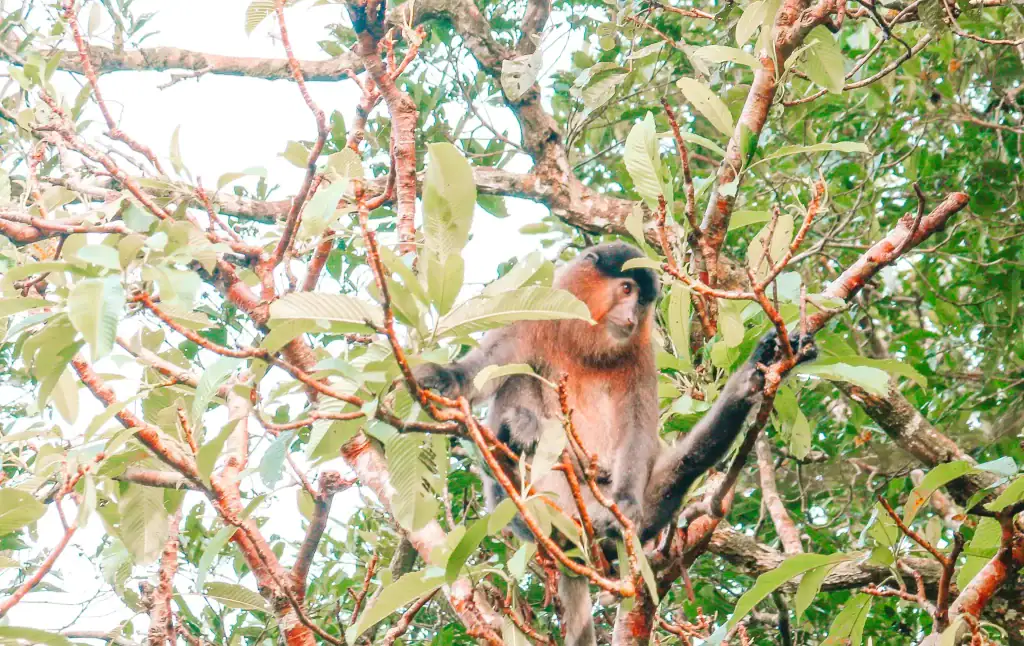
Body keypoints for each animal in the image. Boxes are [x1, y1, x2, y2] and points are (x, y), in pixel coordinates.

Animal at [413, 242, 816, 646]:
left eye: (643, 302)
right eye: (626, 290)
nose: (631, 317)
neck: (585, 344)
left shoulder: (639, 353)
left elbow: (638, 431)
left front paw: (626, 504)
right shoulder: (533, 318)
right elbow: (479, 374)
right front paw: (442, 377)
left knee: (686, 465)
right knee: (517, 387)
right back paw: (512, 445)